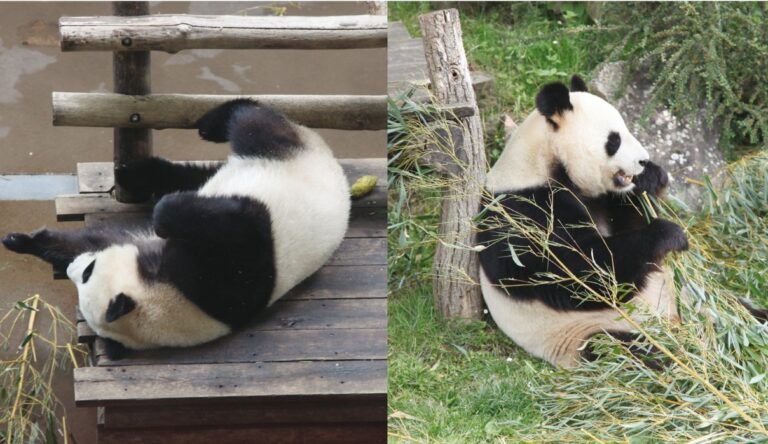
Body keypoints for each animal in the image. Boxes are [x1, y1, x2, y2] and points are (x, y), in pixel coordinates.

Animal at [2, 99, 350, 357]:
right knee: (195, 170)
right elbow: (102, 238)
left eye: (88, 273)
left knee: (253, 125)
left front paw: (167, 209)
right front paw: (21, 240)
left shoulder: (223, 272)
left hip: (283, 156)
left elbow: (229, 222)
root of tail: (330, 160)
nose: (75, 267)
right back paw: (139, 174)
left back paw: (211, 123)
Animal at [476, 75, 690, 368]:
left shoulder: (604, 199)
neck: (541, 162)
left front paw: (651, 178)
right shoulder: (525, 213)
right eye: (614, 140)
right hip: (585, 335)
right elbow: (583, 275)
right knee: (627, 352)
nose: (643, 160)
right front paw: (669, 234)